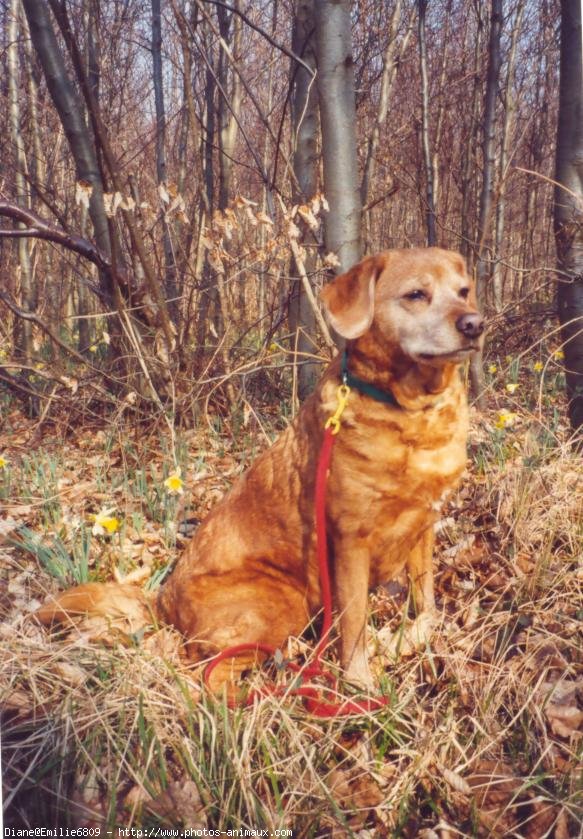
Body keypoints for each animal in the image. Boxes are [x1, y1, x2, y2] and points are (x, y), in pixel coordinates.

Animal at [36, 248, 484, 688]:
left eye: (464, 291)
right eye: (416, 295)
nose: (475, 324)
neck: (414, 415)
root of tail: (162, 600)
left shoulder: (424, 524)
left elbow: (426, 598)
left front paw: (421, 635)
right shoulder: (352, 541)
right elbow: (354, 625)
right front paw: (359, 688)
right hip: (281, 603)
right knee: (204, 671)